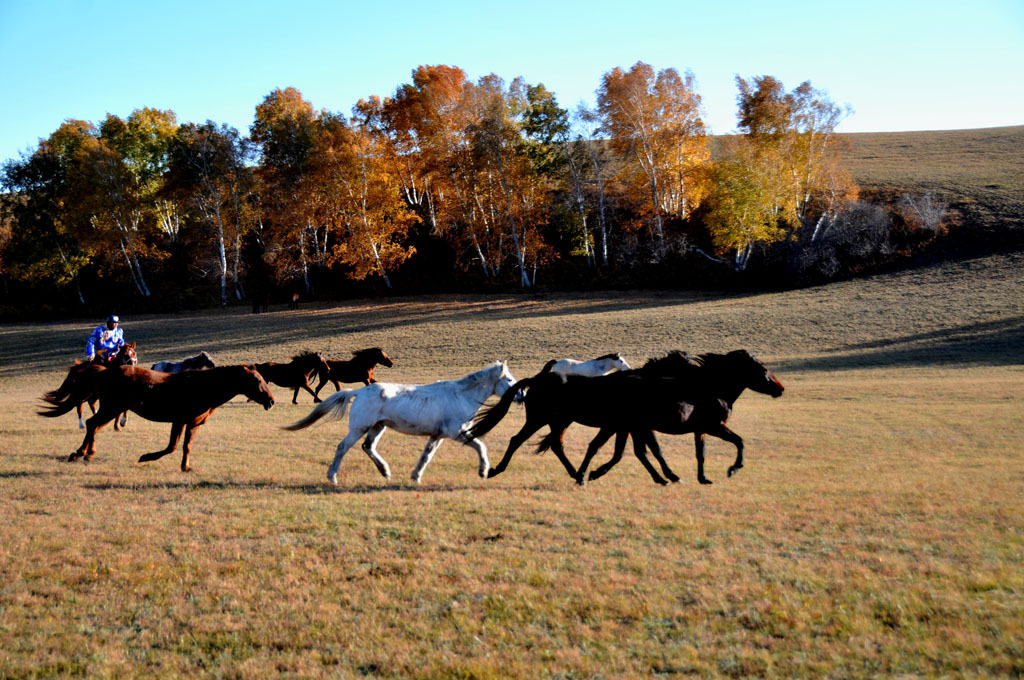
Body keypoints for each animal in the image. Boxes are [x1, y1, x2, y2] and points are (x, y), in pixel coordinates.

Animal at [38, 364, 274, 471]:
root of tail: (103, 371)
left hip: (111, 408)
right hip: (111, 408)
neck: (203, 387)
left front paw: (186, 467)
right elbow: (172, 446)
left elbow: (187, 446)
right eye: (256, 380)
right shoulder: (179, 420)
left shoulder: (194, 424)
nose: (271, 401)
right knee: (91, 424)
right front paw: (145, 457)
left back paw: (85, 454)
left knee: (92, 426)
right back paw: (82, 454)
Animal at [284, 360, 516, 483]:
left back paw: (385, 472)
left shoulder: (437, 435)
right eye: (509, 380)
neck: (460, 395)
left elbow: (426, 456)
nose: (521, 396)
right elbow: (481, 446)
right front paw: (483, 471)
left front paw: (416, 476)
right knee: (342, 447)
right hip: (360, 427)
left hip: (377, 427)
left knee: (368, 447)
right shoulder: (457, 433)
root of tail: (359, 392)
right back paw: (332, 477)